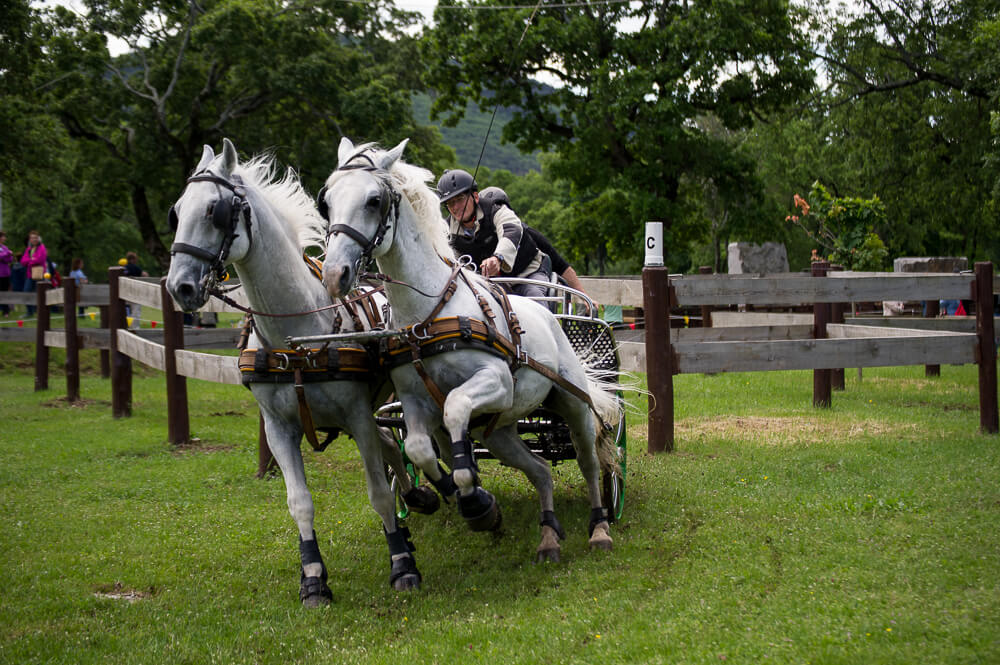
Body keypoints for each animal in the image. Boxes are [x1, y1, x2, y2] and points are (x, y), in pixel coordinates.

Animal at [165, 139, 438, 600]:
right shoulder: (278, 428)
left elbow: (378, 494)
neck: (296, 335)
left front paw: (402, 564)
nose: (178, 287)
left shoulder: (356, 415)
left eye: (214, 211)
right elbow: (300, 502)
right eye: (178, 210)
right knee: (390, 441)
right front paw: (313, 578)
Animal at [320, 137, 620, 564]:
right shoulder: (414, 402)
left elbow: (456, 406)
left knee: (590, 461)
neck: (430, 310)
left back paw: (599, 529)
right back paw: (548, 536)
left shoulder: (495, 382)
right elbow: (419, 448)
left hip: (572, 405)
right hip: (499, 431)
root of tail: (552, 318)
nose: (334, 274)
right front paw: (476, 503)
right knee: (539, 469)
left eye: (374, 200)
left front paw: (474, 497)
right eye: (327, 200)